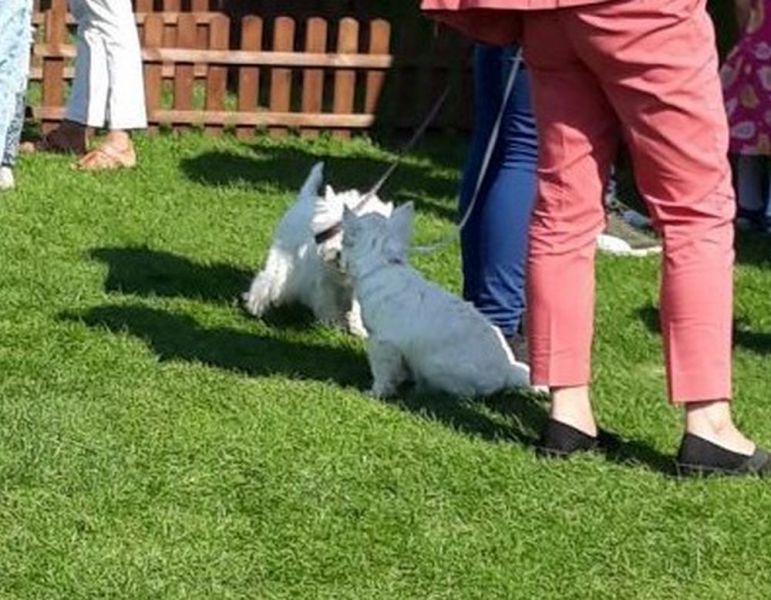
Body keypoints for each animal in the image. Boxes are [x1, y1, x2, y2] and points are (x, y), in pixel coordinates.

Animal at [243, 162, 393, 335]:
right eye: (336, 225)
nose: (338, 253)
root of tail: (305, 197)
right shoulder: (324, 281)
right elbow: (327, 301)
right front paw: (334, 322)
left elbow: (358, 306)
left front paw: (358, 328)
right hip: (283, 258)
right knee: (270, 278)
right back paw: (257, 304)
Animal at [341, 202, 532, 398]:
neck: (383, 265)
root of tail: (508, 370)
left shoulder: (382, 342)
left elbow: (382, 373)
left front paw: (375, 393)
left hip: (434, 366)